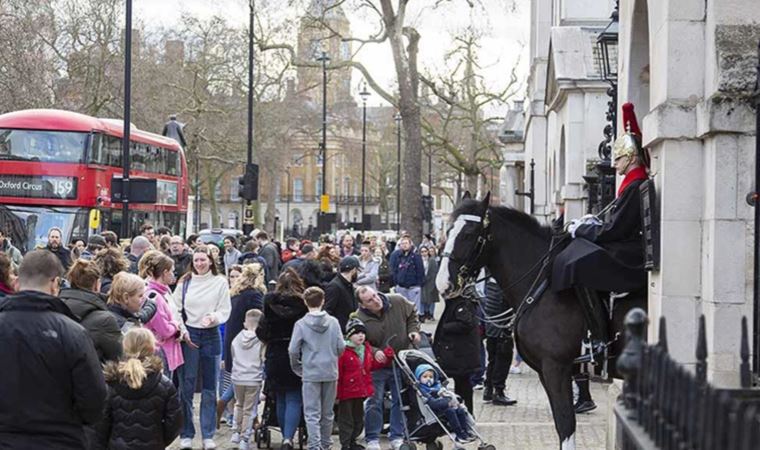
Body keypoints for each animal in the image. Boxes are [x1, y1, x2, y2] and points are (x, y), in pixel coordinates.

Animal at [436, 193, 644, 450]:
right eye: (448, 231)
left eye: (468, 234)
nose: (443, 283)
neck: (543, 286)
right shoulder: (546, 372)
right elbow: (560, 423)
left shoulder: (556, 368)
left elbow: (566, 425)